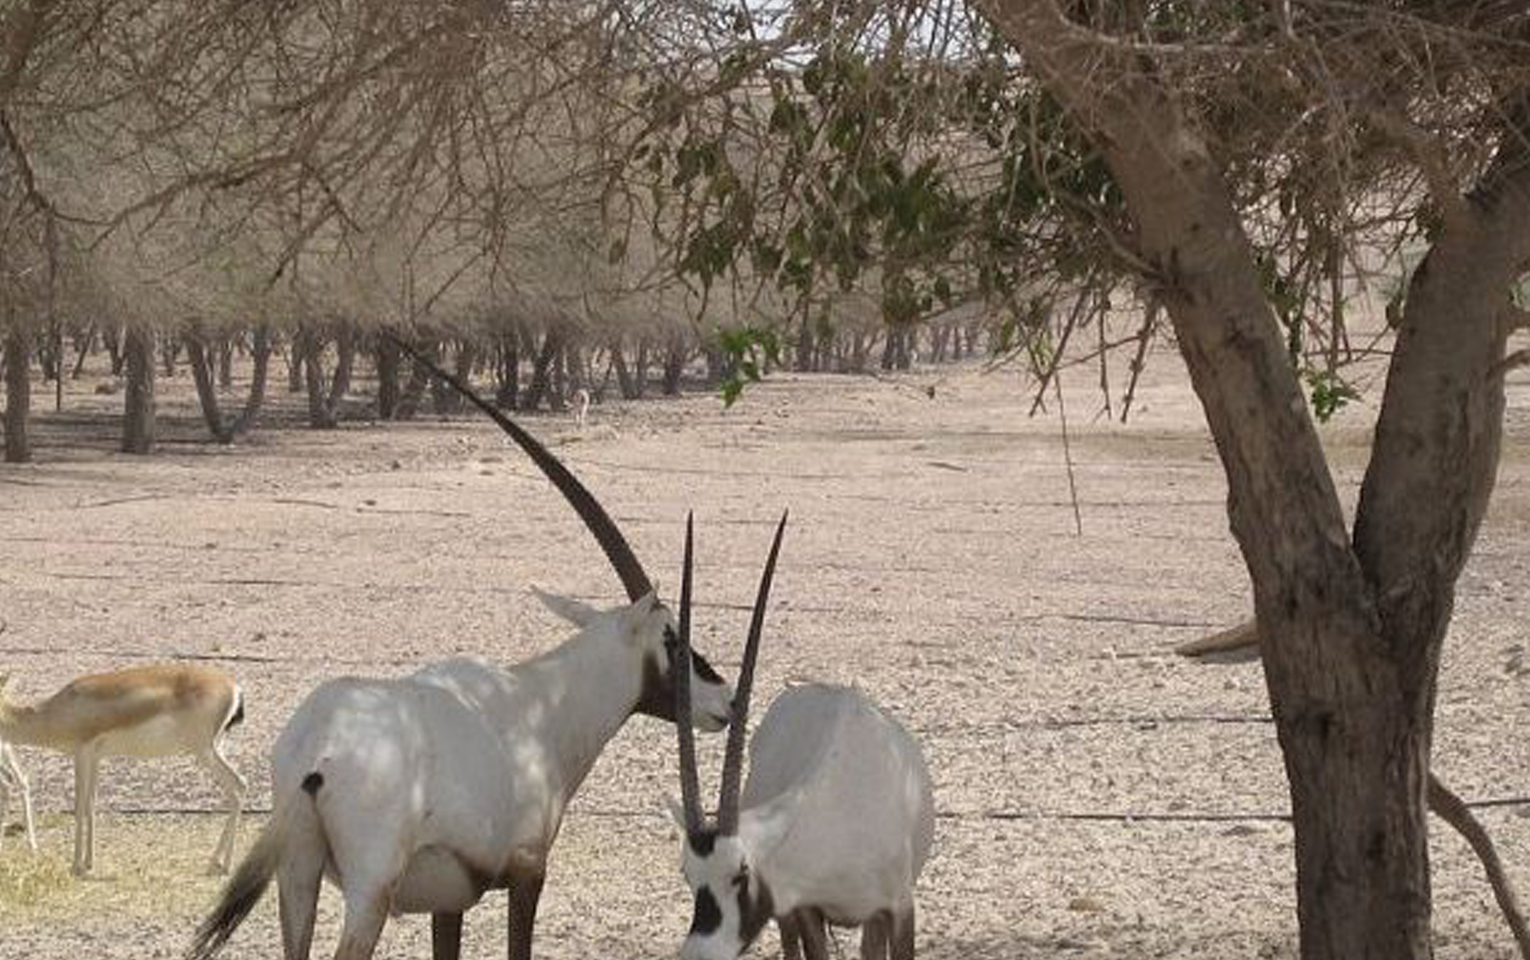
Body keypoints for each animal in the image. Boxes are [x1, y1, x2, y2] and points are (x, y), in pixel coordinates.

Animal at [0, 665, 245, 875]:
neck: (55, 711)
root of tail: (233, 686)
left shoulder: (82, 752)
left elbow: (79, 807)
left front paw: (75, 865)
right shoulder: (95, 757)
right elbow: (91, 805)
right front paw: (89, 862)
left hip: (203, 750)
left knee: (237, 786)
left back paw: (223, 864)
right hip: (216, 747)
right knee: (238, 786)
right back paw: (218, 862)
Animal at [189, 345, 736, 960]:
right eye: (671, 636)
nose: (725, 699)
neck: (542, 705)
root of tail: (315, 747)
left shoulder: (448, 899)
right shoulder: (528, 870)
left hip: (297, 876)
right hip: (370, 891)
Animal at [669, 514, 936, 960]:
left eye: (741, 872)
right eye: (687, 873)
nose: (699, 954)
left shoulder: (898, 908)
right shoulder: (808, 908)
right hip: (790, 917)